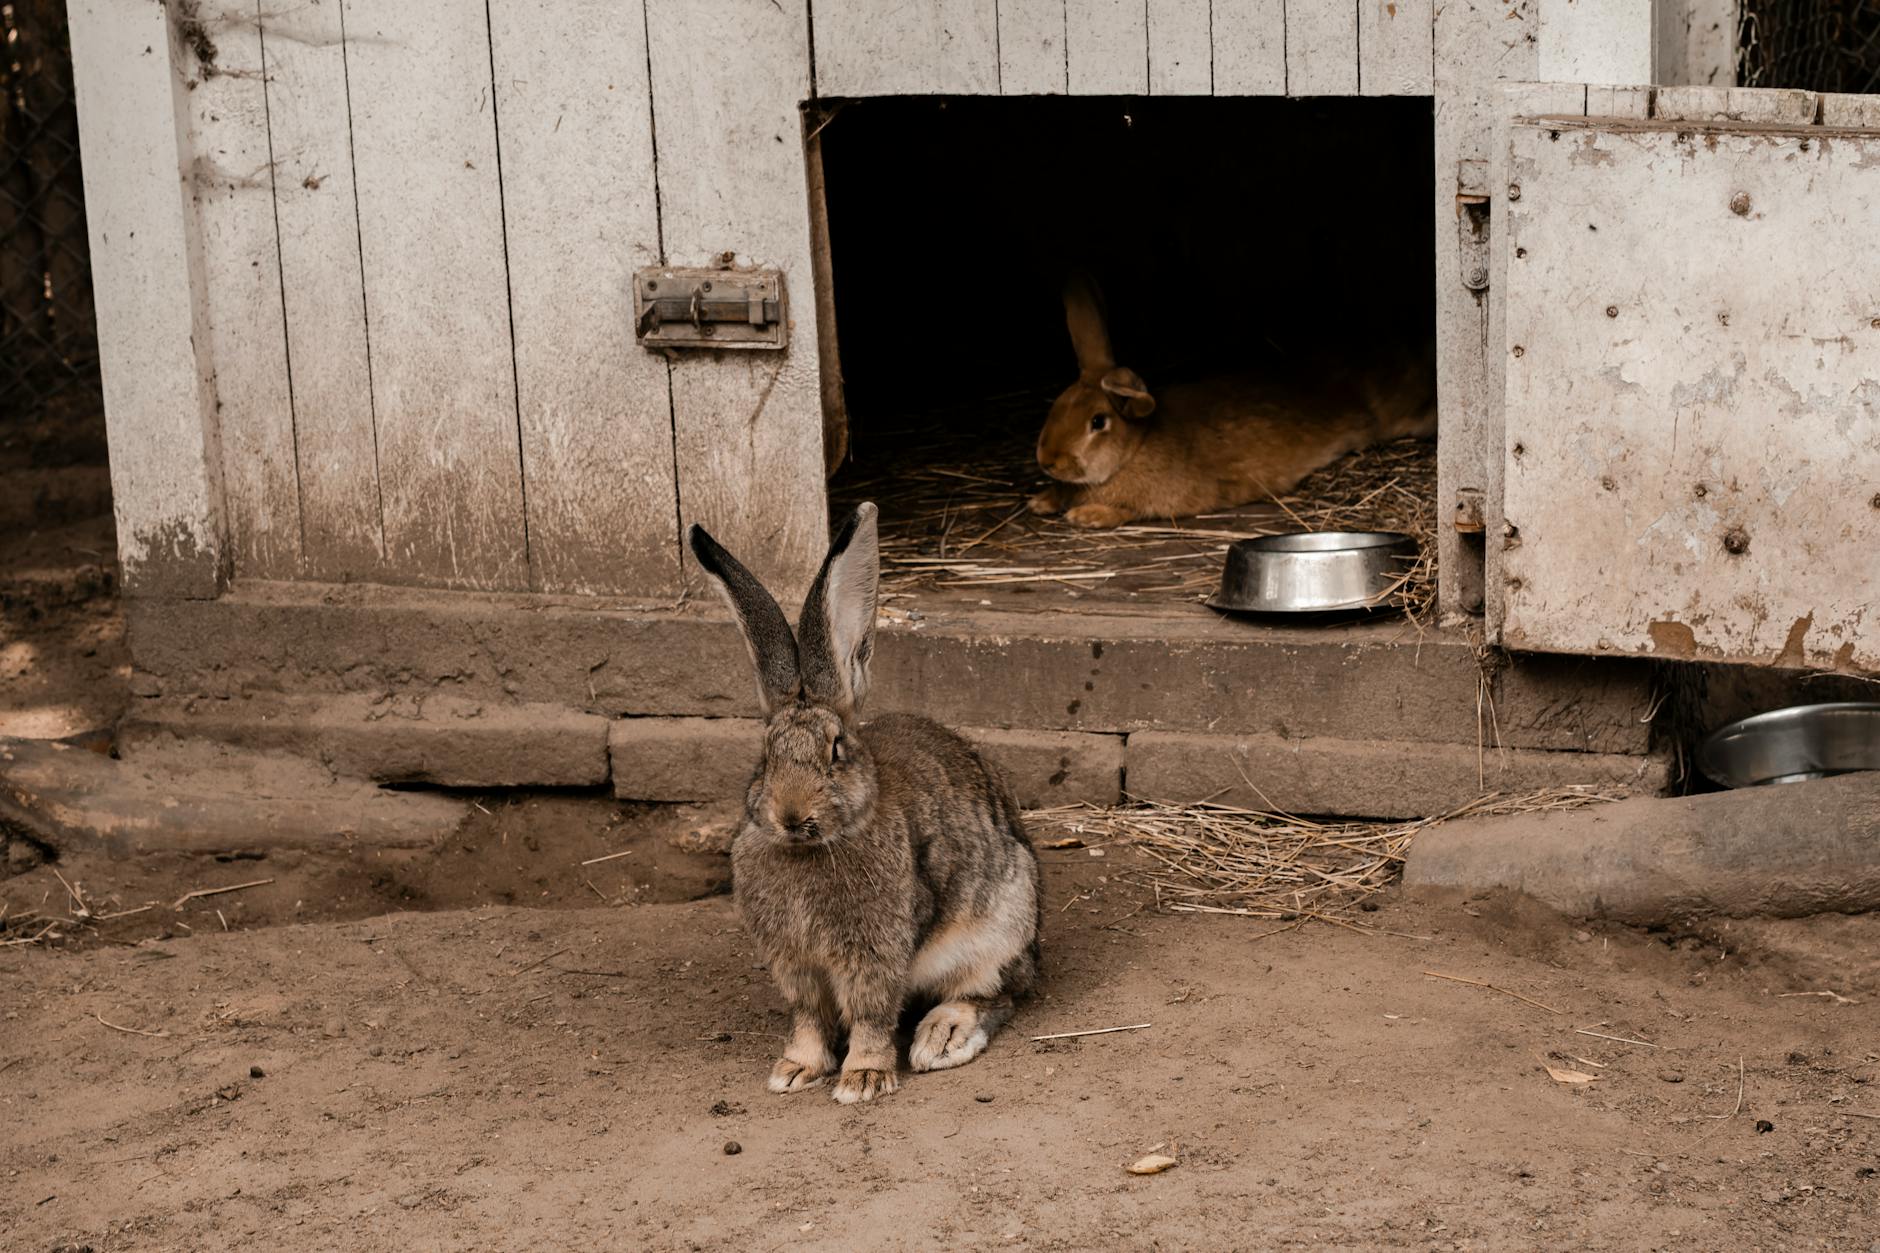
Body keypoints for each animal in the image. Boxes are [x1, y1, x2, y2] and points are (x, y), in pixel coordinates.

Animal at [687, 502, 1041, 1104]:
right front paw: (795, 1069)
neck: (815, 848)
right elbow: (808, 1017)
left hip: (1001, 927)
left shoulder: (873, 956)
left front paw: (864, 1079)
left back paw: (942, 1038)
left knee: (996, 994)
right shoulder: (796, 964)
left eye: (836, 749)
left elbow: (871, 1014)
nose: (791, 816)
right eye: (765, 755)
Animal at [1028, 272, 1438, 528]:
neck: (1134, 450)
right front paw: (1042, 501)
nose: (1047, 461)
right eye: (1057, 404)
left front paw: (1087, 516)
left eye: (1098, 422)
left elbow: (1129, 510)